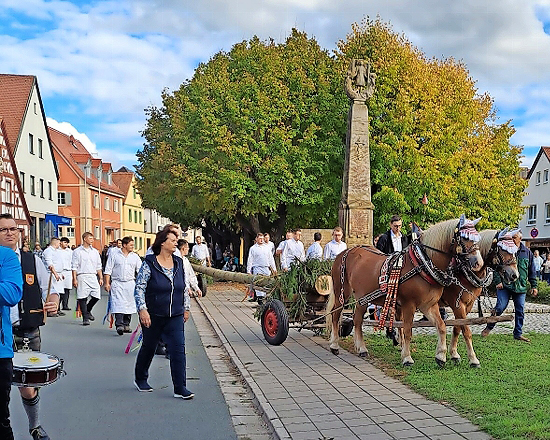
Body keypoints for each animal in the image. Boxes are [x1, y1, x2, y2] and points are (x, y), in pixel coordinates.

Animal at [328, 215, 484, 366]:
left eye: (477, 237)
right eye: (464, 237)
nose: (479, 263)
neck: (422, 264)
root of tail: (346, 251)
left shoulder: (429, 305)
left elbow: (442, 326)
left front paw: (441, 356)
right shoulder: (409, 305)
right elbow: (408, 330)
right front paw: (407, 358)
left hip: (362, 298)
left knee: (357, 319)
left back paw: (361, 348)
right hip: (342, 292)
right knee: (336, 315)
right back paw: (335, 345)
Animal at [444, 229, 520, 366]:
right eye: (502, 250)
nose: (514, 275)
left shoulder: (467, 305)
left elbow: (458, 327)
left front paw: (454, 354)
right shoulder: (457, 305)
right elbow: (466, 330)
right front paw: (473, 359)